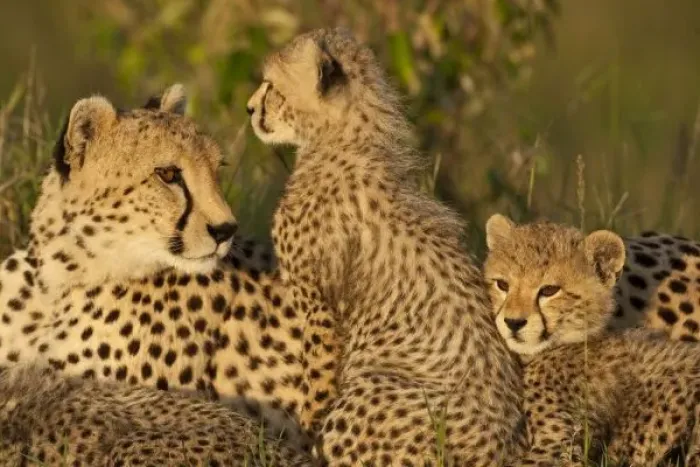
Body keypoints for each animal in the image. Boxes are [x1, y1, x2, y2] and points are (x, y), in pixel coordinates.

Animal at [246, 27, 525, 466]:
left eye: (271, 86)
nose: (249, 108)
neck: (342, 138)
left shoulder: (319, 309)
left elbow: (315, 385)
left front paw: (300, 439)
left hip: (368, 389)